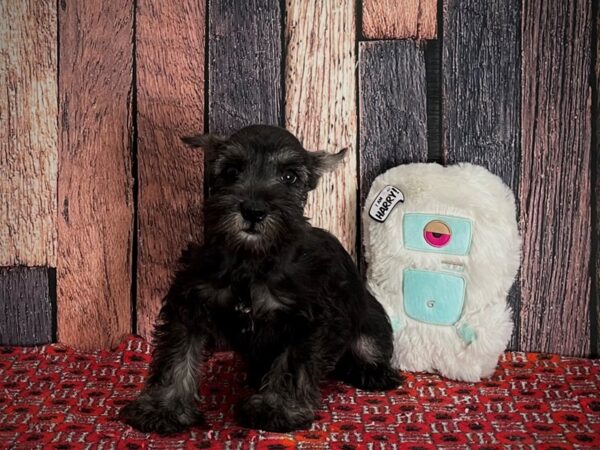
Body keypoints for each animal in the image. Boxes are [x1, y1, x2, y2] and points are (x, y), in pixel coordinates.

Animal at [120, 125, 404, 434]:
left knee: (369, 346)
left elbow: (292, 364)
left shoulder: (308, 319)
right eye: (231, 171)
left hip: (369, 320)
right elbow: (176, 357)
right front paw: (162, 406)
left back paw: (373, 372)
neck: (251, 261)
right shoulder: (189, 303)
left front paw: (276, 408)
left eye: (289, 176)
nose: (253, 210)